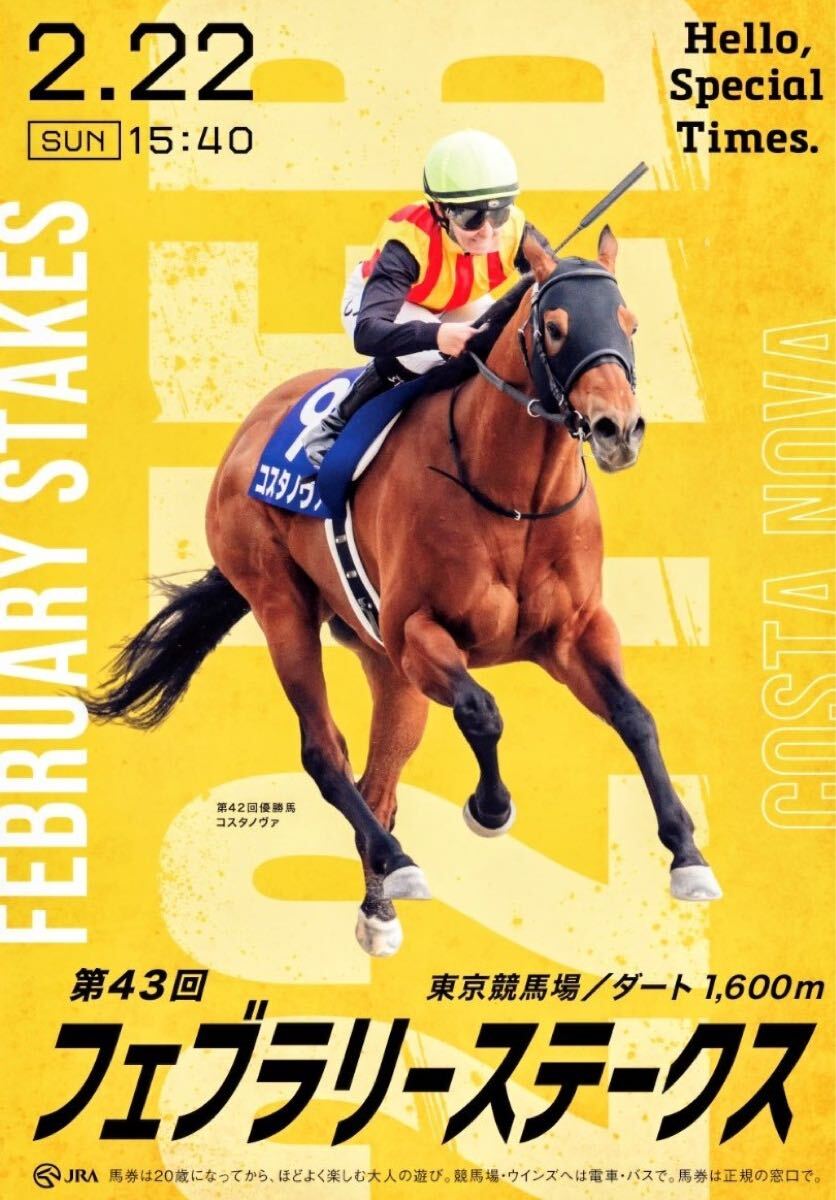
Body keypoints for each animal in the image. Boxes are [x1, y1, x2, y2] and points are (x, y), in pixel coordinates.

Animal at [86, 227, 721, 958]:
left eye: (630, 323)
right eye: (556, 328)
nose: (619, 429)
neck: (514, 498)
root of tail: (247, 432)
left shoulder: (574, 632)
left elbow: (635, 717)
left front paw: (688, 857)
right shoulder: (420, 631)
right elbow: (482, 711)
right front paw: (490, 808)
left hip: (386, 668)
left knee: (378, 783)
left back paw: (379, 905)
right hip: (282, 607)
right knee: (325, 753)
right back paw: (400, 863)